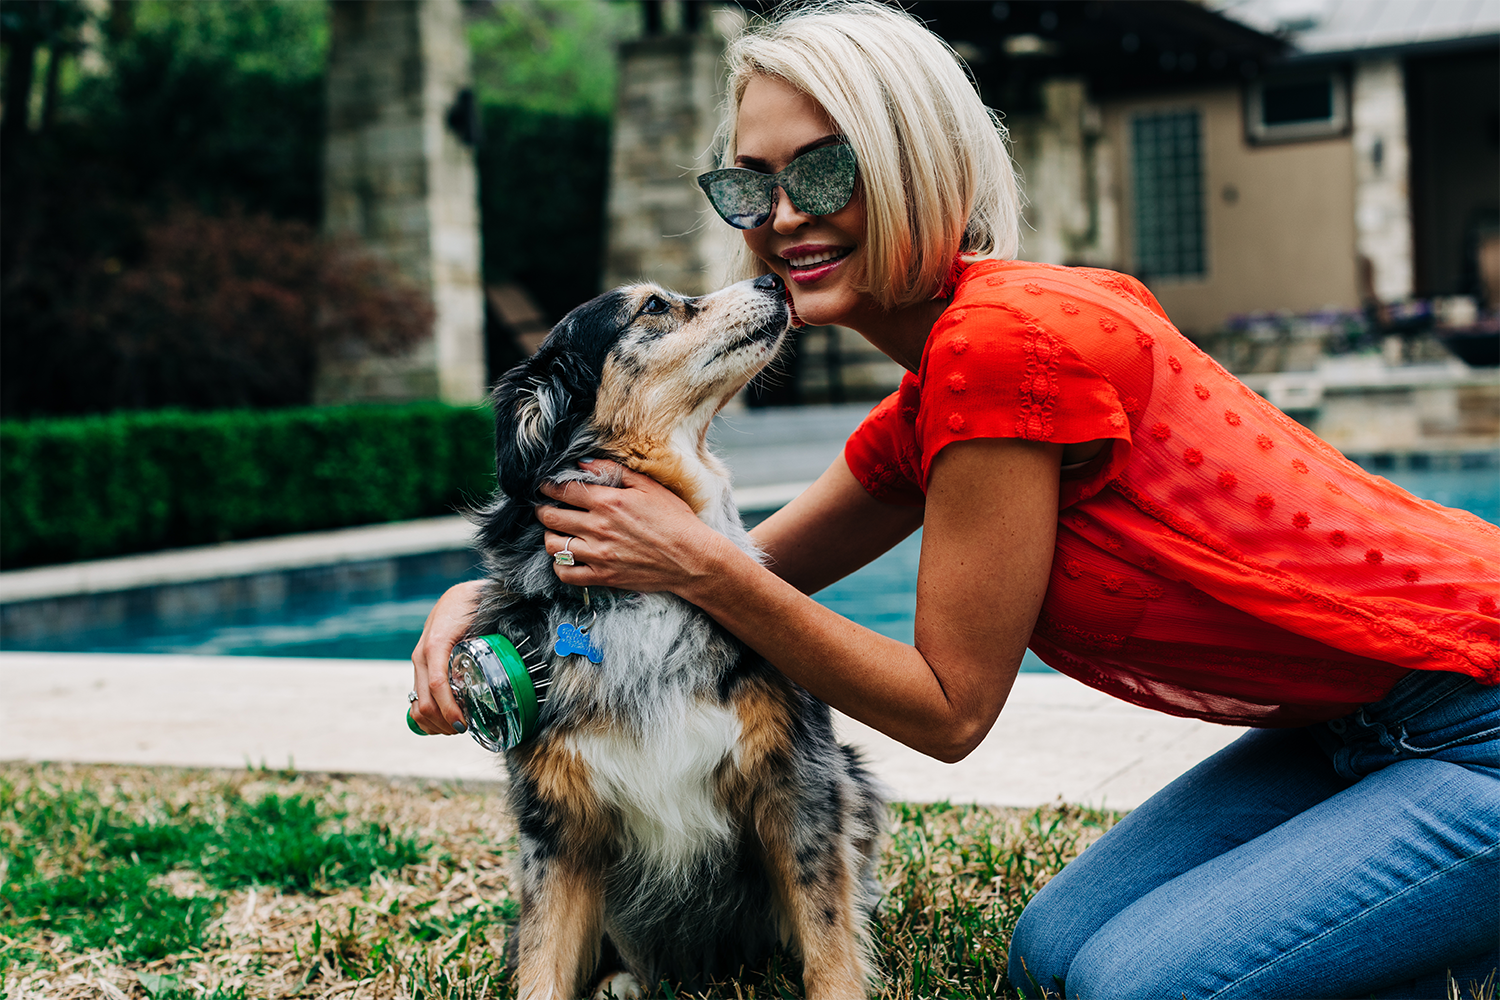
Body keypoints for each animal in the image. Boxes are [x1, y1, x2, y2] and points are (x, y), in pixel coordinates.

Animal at [468, 274, 882, 1000]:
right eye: (655, 306)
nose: (772, 279)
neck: (643, 598)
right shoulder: (556, 824)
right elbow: (543, 963)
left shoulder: (800, 782)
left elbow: (828, 934)